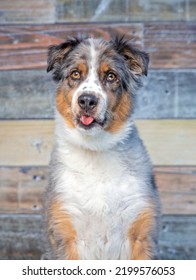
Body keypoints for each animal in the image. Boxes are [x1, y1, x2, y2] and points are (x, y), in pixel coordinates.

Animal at [45, 35, 160, 260]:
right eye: (75, 74)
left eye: (111, 76)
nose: (87, 101)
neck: (95, 151)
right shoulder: (65, 230)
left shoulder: (140, 233)